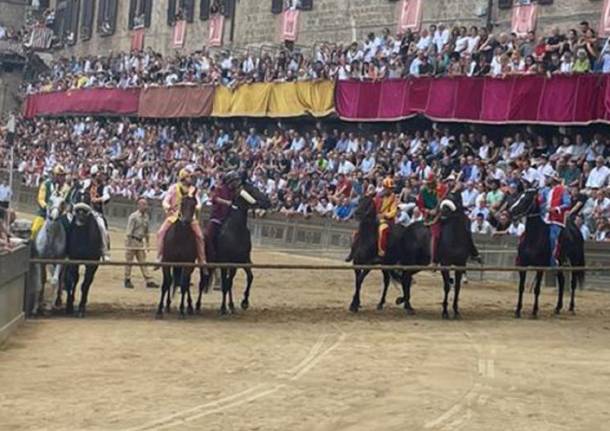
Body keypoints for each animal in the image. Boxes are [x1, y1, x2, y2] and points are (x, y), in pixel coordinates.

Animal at [196, 181, 270, 316]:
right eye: (252, 190)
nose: (268, 201)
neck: (236, 230)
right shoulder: (225, 263)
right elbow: (225, 284)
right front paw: (223, 308)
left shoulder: (242, 261)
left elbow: (249, 278)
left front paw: (244, 302)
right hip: (206, 264)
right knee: (203, 282)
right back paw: (198, 306)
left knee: (227, 282)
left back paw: (231, 305)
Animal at [504, 187, 584, 318]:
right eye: (518, 197)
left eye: (526, 199)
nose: (510, 212)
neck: (533, 238)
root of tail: (575, 229)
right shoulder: (522, 265)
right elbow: (521, 287)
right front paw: (518, 310)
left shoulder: (540, 266)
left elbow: (536, 289)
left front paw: (534, 311)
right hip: (559, 262)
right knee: (562, 281)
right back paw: (557, 308)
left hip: (575, 261)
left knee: (573, 283)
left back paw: (571, 308)